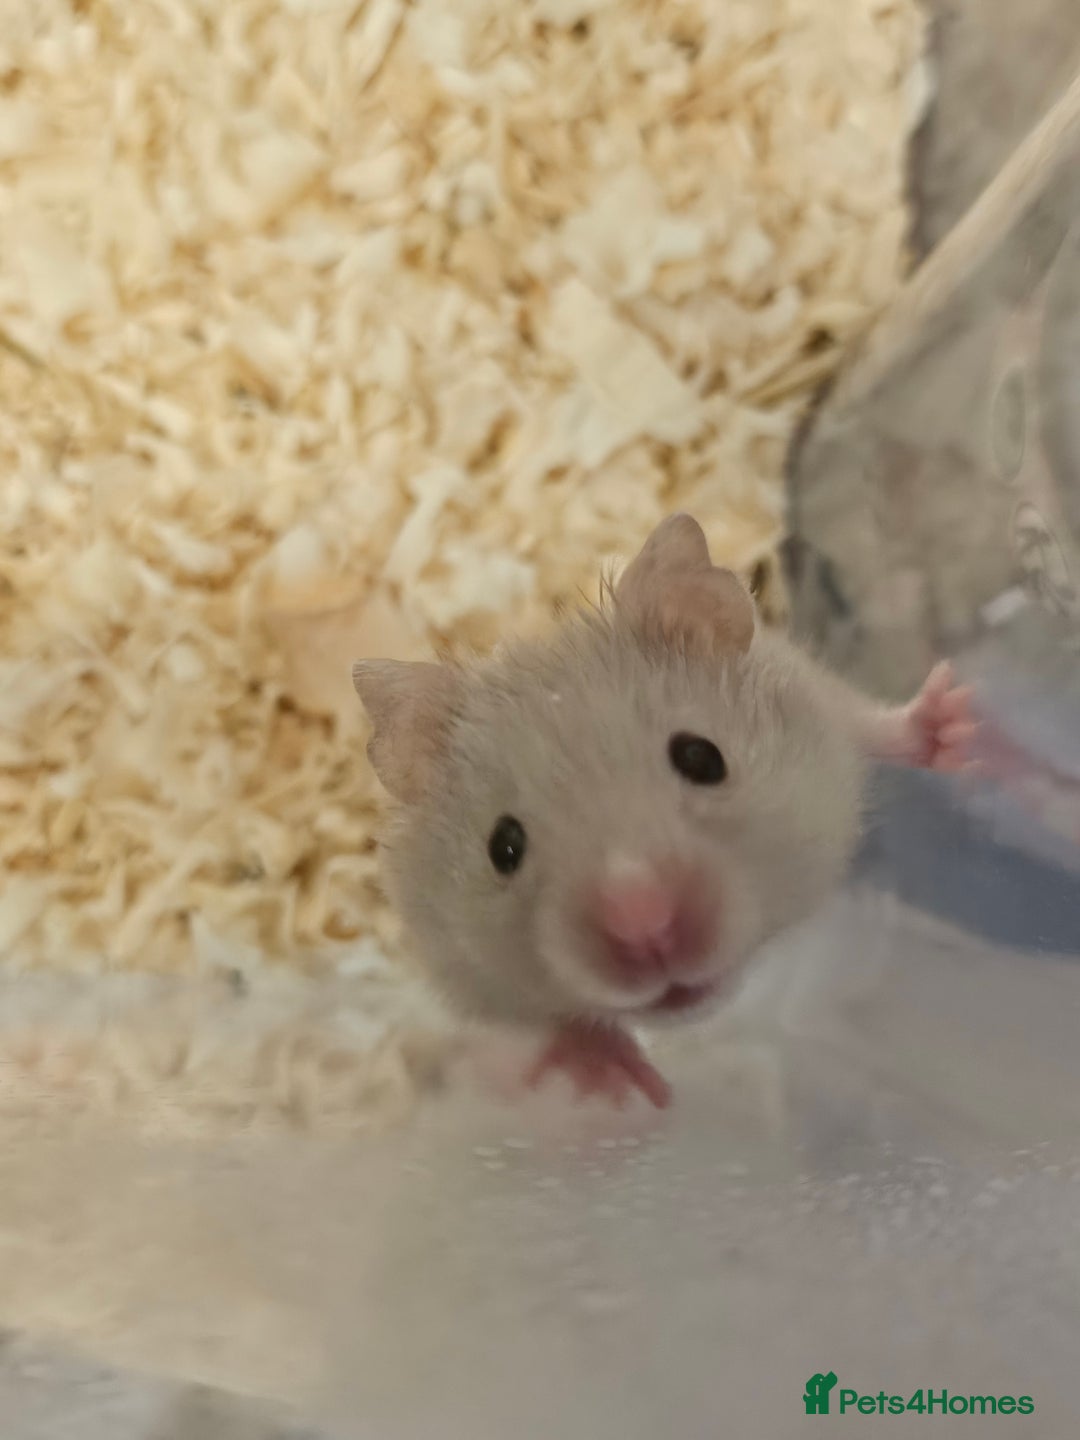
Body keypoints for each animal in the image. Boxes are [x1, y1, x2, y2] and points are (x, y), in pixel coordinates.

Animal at [353, 515, 977, 1108]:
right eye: (503, 847)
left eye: (702, 757)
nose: (645, 928)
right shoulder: (457, 971)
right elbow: (546, 1022)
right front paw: (622, 1084)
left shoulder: (817, 694)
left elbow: (873, 723)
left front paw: (959, 720)